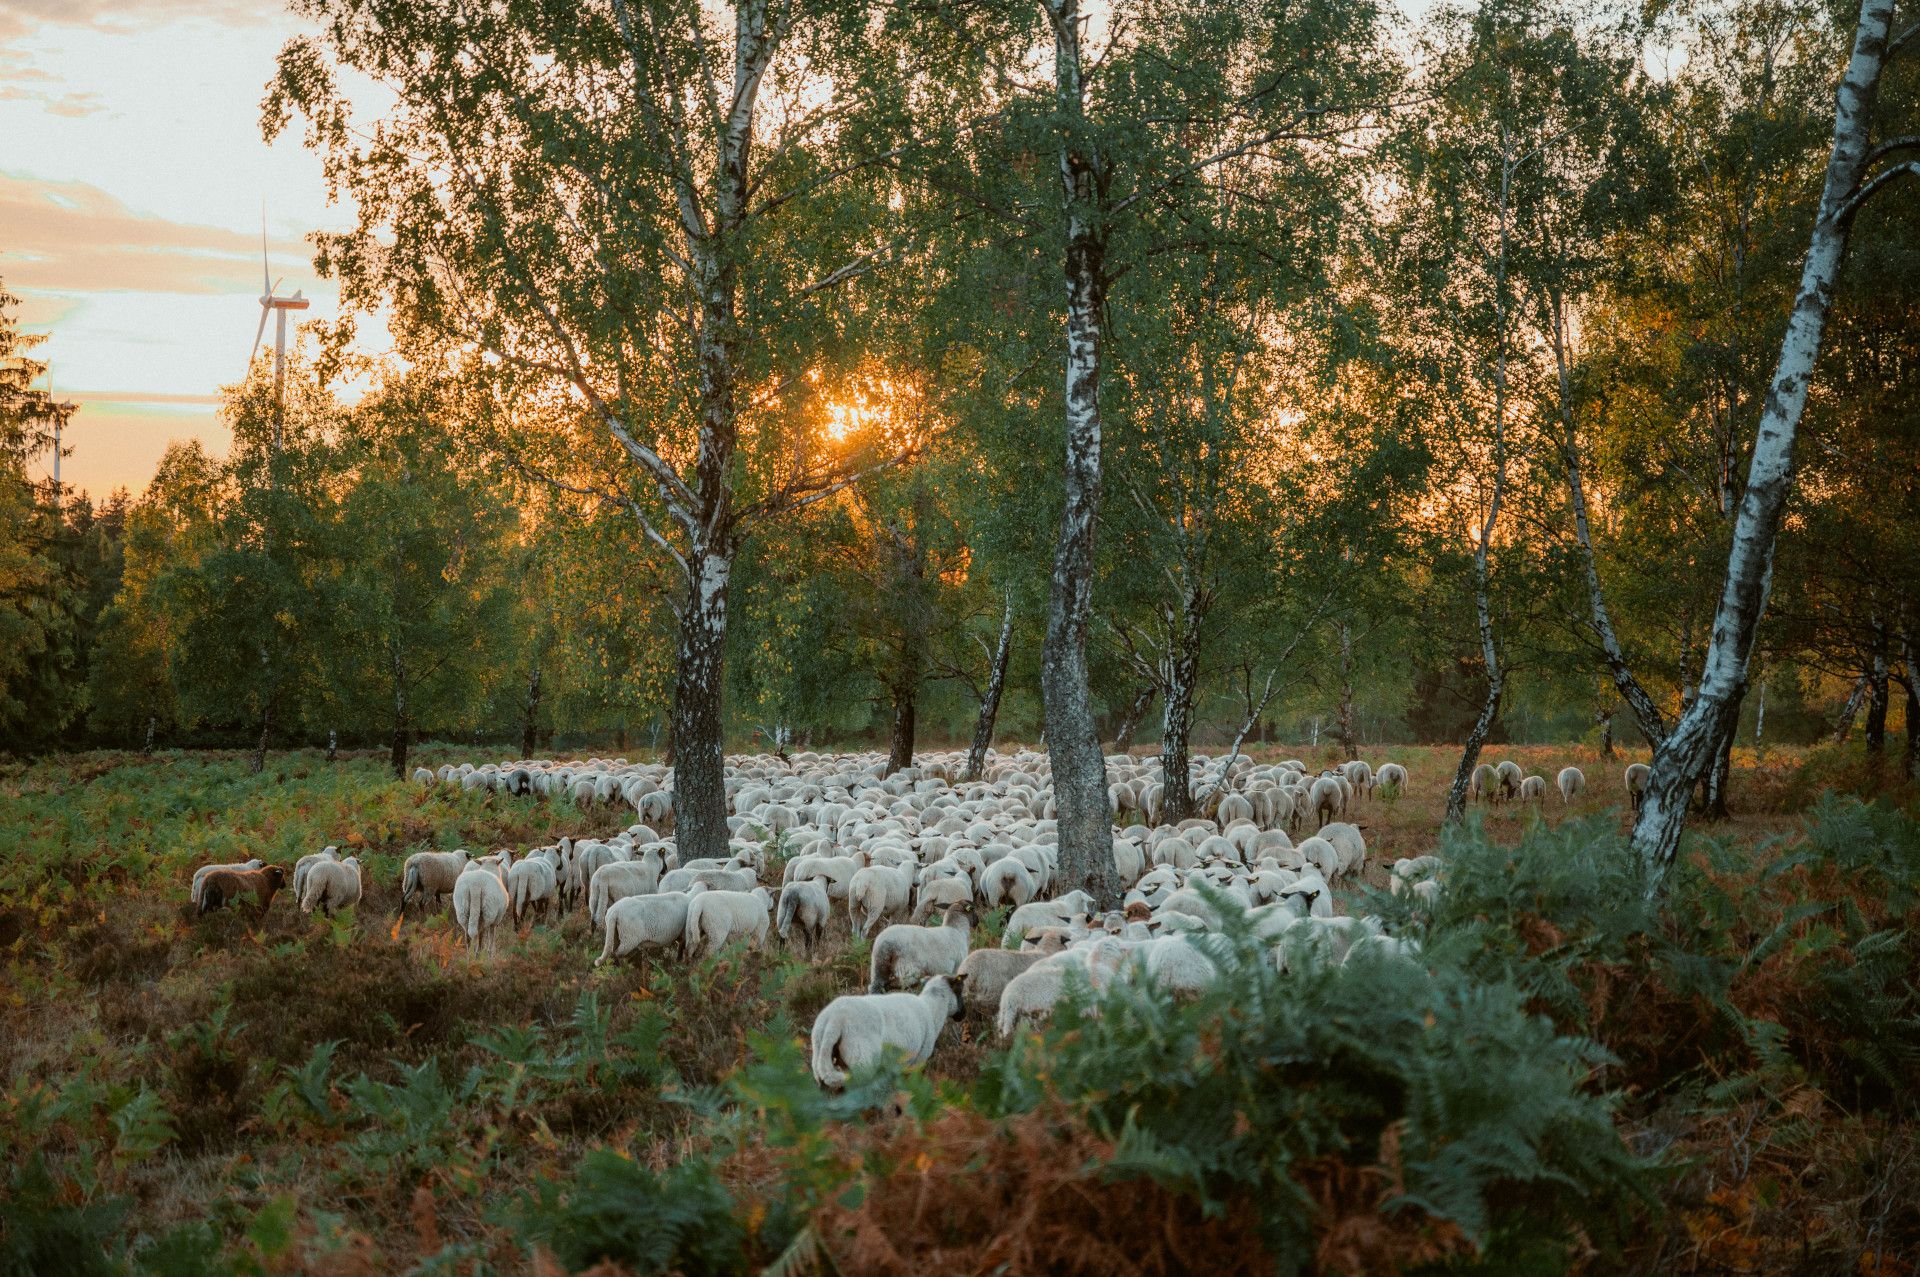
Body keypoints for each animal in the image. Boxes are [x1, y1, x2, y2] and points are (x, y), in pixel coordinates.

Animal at [809, 975, 962, 1089]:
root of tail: (833, 1019)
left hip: (822, 1061)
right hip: (863, 1062)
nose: (963, 1015)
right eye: (960, 991)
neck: (931, 1008)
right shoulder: (917, 1061)